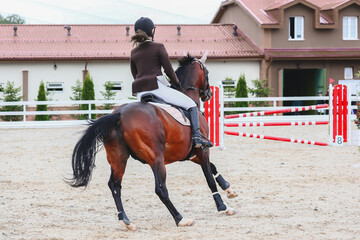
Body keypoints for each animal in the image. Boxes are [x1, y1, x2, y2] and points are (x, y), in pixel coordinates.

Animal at [68, 52, 238, 231]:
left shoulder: (190, 154)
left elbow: (213, 168)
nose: (209, 94)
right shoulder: (201, 150)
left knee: (115, 185)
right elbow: (209, 178)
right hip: (156, 159)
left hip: (118, 158)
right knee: (160, 189)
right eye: (207, 73)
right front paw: (223, 207)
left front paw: (229, 189)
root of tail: (119, 114)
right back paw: (180, 218)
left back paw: (126, 220)